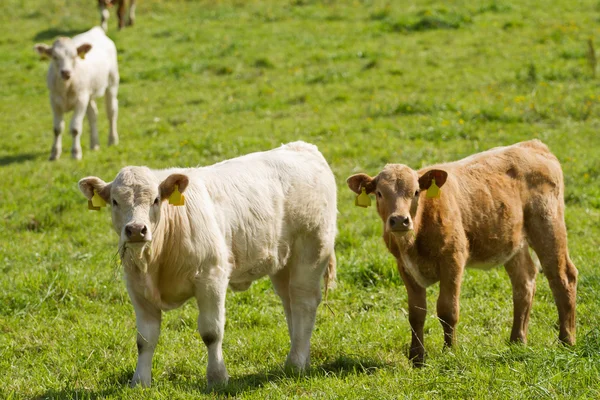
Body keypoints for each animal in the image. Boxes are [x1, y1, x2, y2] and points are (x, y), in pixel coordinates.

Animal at [77, 141, 338, 388]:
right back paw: (301, 356)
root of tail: (302, 147)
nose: (136, 230)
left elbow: (211, 332)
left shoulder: (211, 278)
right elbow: (144, 339)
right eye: (114, 201)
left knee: (304, 301)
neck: (156, 262)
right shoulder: (138, 289)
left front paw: (217, 377)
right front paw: (139, 381)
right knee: (290, 302)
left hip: (311, 250)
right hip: (283, 262)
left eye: (155, 200)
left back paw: (295, 364)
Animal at [346, 140, 576, 366]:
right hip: (515, 243)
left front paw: (449, 351)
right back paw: (517, 341)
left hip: (548, 226)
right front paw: (417, 357)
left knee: (563, 278)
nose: (400, 220)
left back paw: (566, 341)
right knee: (524, 283)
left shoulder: (453, 259)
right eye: (379, 193)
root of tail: (532, 145)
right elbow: (416, 313)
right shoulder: (405, 267)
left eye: (416, 192)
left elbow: (447, 309)